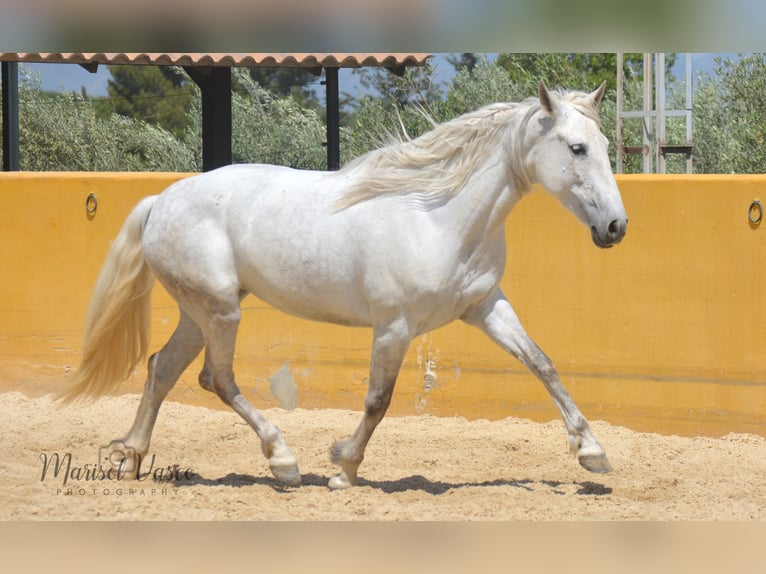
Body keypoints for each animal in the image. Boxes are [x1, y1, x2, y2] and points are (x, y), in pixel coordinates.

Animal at [63, 82, 632, 490]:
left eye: (606, 145)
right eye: (576, 148)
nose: (615, 227)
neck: (438, 217)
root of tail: (162, 199)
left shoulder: (486, 307)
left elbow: (542, 364)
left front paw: (592, 453)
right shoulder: (394, 327)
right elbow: (378, 400)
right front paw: (343, 468)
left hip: (197, 311)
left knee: (162, 369)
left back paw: (130, 459)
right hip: (220, 311)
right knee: (216, 379)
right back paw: (283, 461)